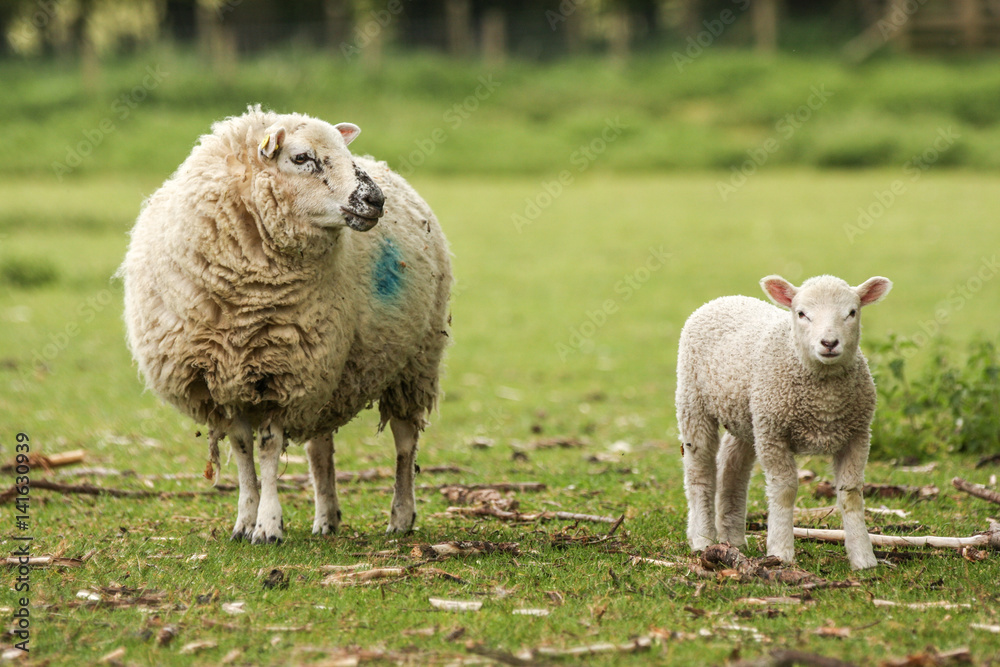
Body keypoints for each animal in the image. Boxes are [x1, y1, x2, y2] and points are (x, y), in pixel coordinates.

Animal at [119, 107, 452, 544]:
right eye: (301, 157)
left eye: (345, 153)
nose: (375, 200)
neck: (245, 298)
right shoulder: (225, 383)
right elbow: (243, 451)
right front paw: (244, 521)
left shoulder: (285, 375)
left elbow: (268, 448)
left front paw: (268, 525)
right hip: (331, 374)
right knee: (321, 448)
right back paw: (327, 519)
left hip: (414, 363)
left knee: (404, 442)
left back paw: (400, 516)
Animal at [676, 274, 896, 572]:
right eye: (801, 313)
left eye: (852, 312)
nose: (829, 343)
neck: (824, 398)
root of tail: (724, 298)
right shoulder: (774, 433)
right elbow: (784, 490)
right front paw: (781, 551)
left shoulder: (857, 434)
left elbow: (850, 494)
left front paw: (863, 557)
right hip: (694, 400)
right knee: (700, 471)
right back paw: (702, 538)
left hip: (748, 415)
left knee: (733, 467)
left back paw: (732, 538)